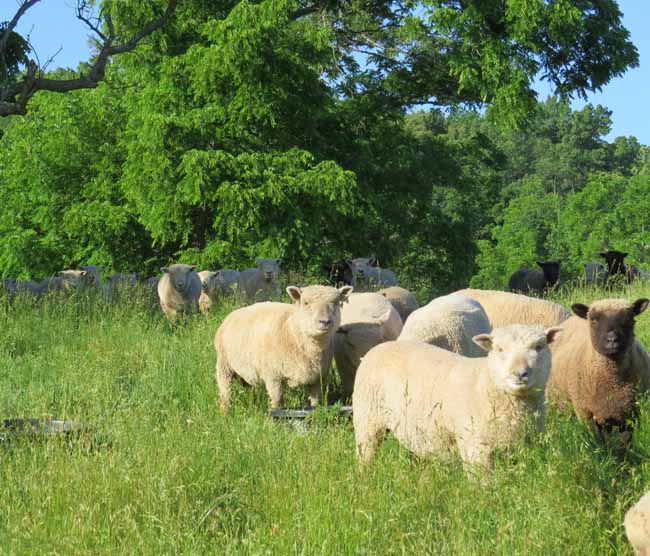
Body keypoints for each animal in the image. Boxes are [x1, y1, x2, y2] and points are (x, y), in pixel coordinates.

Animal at [215, 284, 353, 412]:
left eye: (336, 302)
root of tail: (233, 313)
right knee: (225, 392)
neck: (293, 332)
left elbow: (315, 402)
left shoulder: (317, 377)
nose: (324, 322)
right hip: (223, 364)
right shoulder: (273, 376)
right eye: (306, 303)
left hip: (244, 369)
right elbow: (278, 401)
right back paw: (225, 413)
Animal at [353, 325, 562, 468]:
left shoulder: (523, 447)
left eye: (539, 346)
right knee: (365, 457)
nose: (520, 373)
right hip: (367, 421)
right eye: (499, 349)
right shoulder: (475, 448)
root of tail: (376, 349)